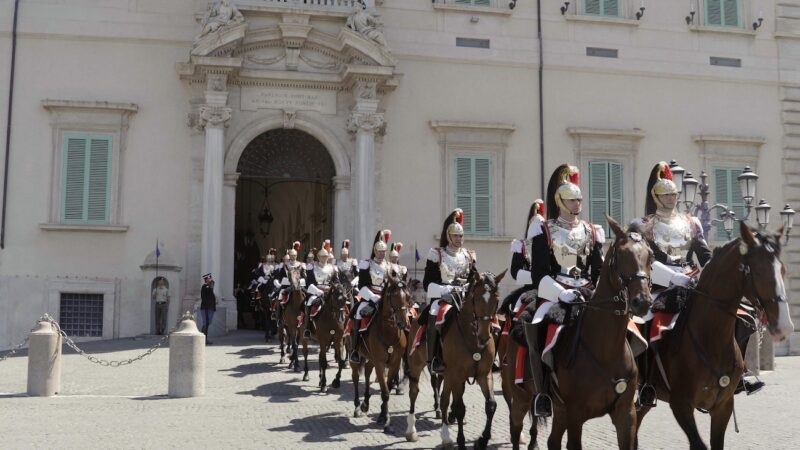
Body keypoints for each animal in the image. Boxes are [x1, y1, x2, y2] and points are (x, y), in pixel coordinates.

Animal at [350, 270, 410, 432]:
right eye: (394, 296)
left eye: (408, 296)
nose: (403, 323)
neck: (389, 332)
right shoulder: (380, 363)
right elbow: (385, 391)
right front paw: (385, 418)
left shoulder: (394, 363)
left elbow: (387, 389)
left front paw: (384, 415)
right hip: (355, 357)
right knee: (356, 378)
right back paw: (357, 406)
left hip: (371, 358)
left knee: (367, 372)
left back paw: (365, 403)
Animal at [438, 268, 506, 450]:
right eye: (476, 298)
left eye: (497, 299)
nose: (484, 337)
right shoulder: (456, 374)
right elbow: (461, 408)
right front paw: (461, 441)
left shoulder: (484, 374)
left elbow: (491, 405)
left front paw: (482, 440)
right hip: (446, 373)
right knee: (445, 400)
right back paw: (445, 434)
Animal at [536, 216, 652, 448]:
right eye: (622, 254)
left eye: (650, 256)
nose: (642, 302)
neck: (606, 351)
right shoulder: (575, 414)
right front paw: (571, 294)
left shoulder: (626, 413)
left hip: (560, 409)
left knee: (553, 441)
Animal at [636, 223, 792, 448]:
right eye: (759, 271)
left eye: (783, 270)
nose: (785, 326)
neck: (710, 340)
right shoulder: (680, 405)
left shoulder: (723, 406)